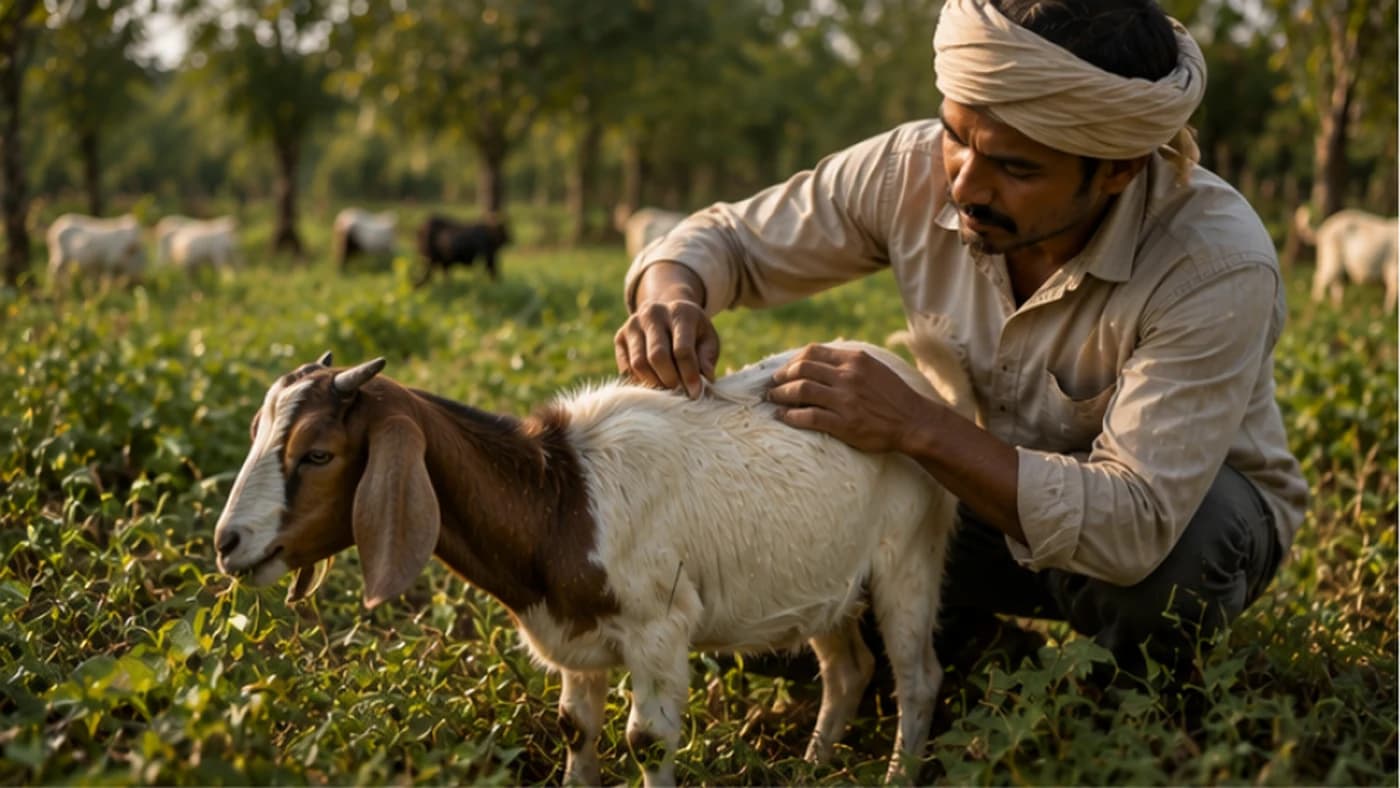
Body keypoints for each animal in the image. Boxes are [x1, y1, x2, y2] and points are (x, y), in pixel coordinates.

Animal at [212, 337, 975, 785]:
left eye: (317, 453)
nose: (227, 542)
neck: (558, 501)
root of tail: (920, 388)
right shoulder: (576, 638)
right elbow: (574, 728)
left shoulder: (659, 629)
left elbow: (648, 741)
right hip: (821, 578)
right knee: (848, 670)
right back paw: (811, 767)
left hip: (910, 555)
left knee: (916, 677)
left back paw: (897, 773)